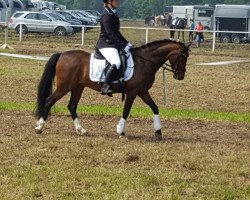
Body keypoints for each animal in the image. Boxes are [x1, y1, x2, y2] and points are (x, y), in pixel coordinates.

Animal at [35, 38, 191, 139]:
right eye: (183, 56)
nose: (180, 76)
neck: (144, 62)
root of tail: (62, 54)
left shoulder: (142, 91)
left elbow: (154, 107)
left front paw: (158, 132)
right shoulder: (133, 92)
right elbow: (126, 111)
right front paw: (121, 132)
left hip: (77, 87)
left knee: (72, 106)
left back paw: (81, 130)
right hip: (64, 87)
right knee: (49, 101)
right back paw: (39, 127)